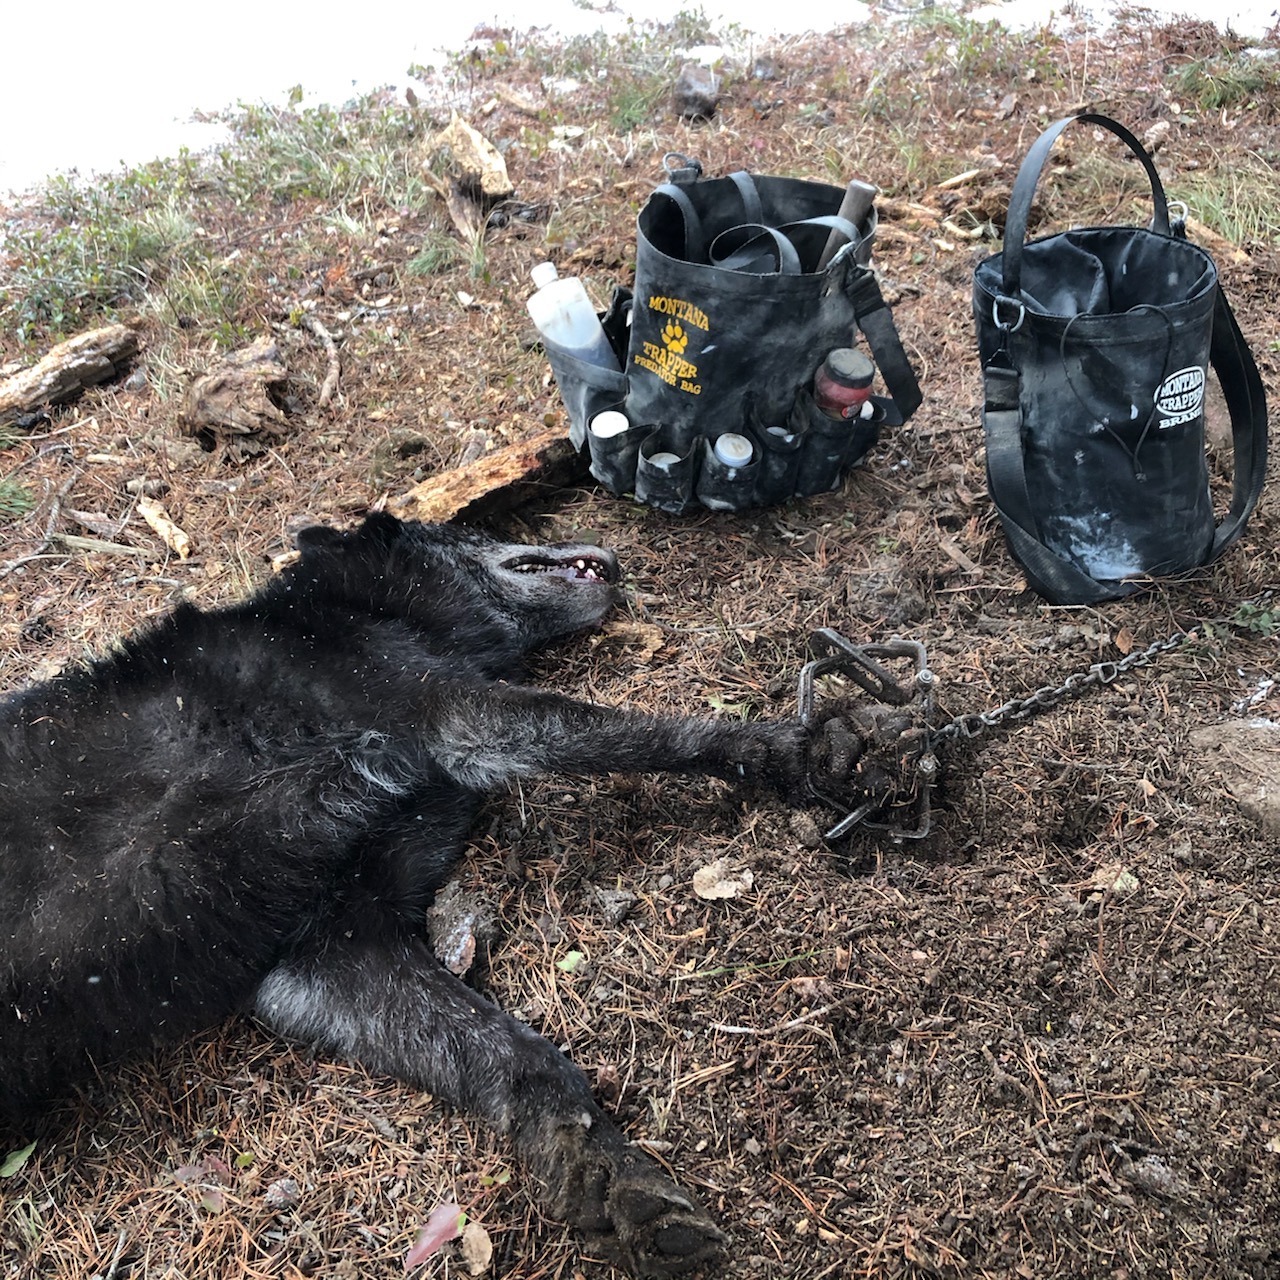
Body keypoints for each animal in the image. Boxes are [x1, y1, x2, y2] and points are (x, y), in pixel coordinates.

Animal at [0, 513, 847, 1276]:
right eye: (479, 525)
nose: (605, 540)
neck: (357, 606)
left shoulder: (329, 952)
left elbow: (519, 1056)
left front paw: (610, 1181)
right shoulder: (451, 710)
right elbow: (638, 731)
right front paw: (789, 749)